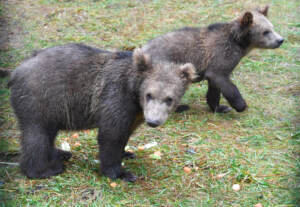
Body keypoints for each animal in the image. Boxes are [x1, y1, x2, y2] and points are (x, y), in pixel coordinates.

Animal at [8, 43, 197, 181]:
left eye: (169, 98)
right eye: (149, 94)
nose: (153, 121)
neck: (134, 92)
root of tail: (16, 72)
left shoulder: (134, 114)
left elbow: (125, 134)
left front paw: (126, 152)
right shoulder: (115, 98)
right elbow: (111, 135)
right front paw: (120, 173)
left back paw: (61, 153)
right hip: (40, 100)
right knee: (36, 135)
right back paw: (45, 170)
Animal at [142, 5, 284, 113]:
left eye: (272, 28)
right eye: (265, 31)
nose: (280, 40)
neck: (237, 43)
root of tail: (142, 50)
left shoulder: (213, 66)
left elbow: (214, 89)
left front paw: (219, 107)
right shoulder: (220, 59)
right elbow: (225, 84)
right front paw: (240, 105)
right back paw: (179, 107)